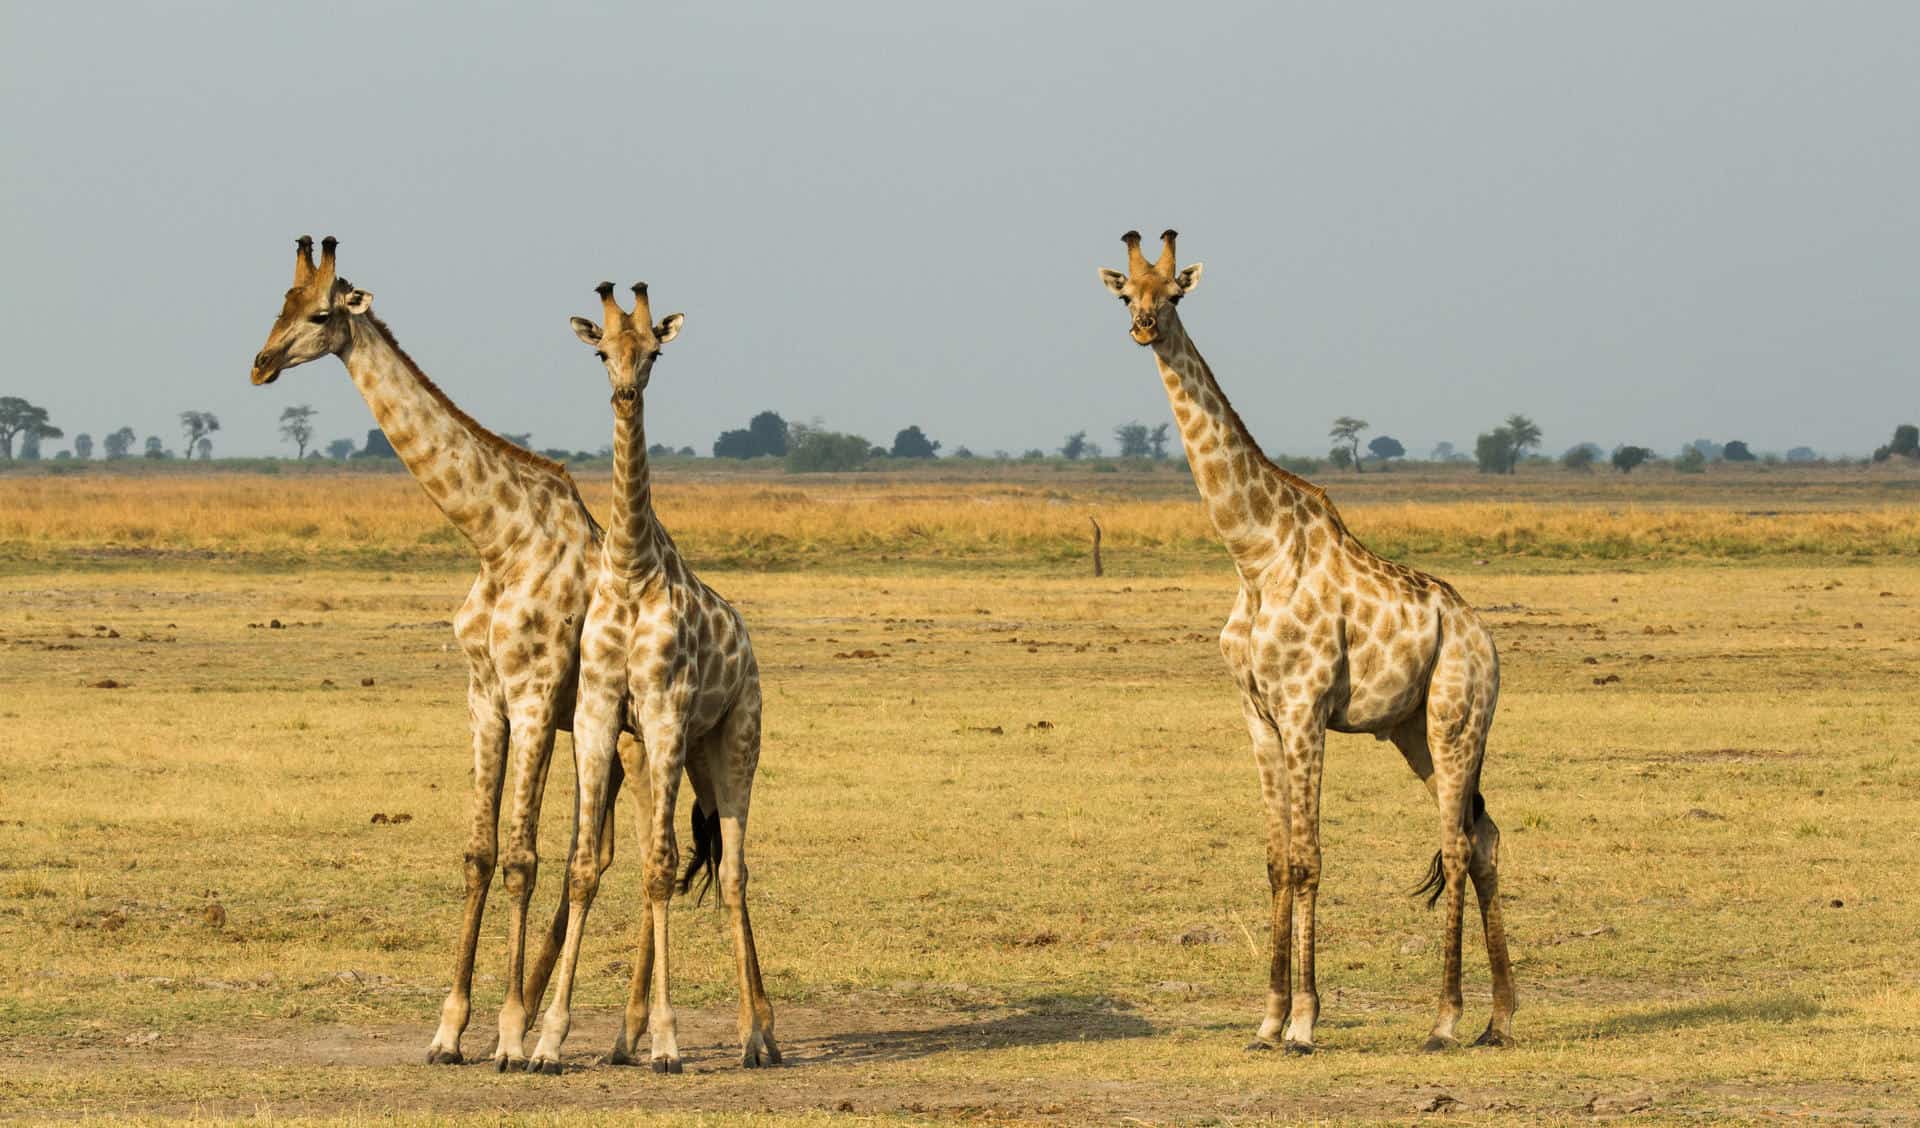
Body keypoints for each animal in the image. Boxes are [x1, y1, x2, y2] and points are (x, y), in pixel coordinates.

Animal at [249, 236, 616, 1069]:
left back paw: (568, 1028)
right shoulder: (484, 695)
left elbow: (521, 857)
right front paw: (451, 1030)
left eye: (318, 315)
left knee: (604, 857)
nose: (260, 364)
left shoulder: (535, 694)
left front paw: (508, 1035)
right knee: (607, 854)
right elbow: (480, 852)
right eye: (279, 305)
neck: (499, 538)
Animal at [525, 282, 777, 1075]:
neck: (632, 568)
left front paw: (667, 1041)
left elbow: (665, 865)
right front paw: (547, 1041)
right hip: (680, 751)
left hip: (735, 739)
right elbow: (585, 865)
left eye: (655, 353)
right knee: (692, 860)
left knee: (733, 873)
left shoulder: (664, 707)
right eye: (602, 351)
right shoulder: (603, 710)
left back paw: (756, 1038)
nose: (626, 392)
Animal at [1097, 230, 1516, 1054]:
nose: (1143, 329)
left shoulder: (1304, 710)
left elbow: (1308, 859)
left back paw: (1446, 1019)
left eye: (1176, 293)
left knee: (1456, 845)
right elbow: (1274, 860)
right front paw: (1265, 1020)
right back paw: (1501, 1016)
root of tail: (1482, 637)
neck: (1253, 554)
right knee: (1480, 838)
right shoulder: (1259, 717)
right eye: (1128, 293)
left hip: (1456, 719)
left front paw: (1304, 1023)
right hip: (1411, 731)